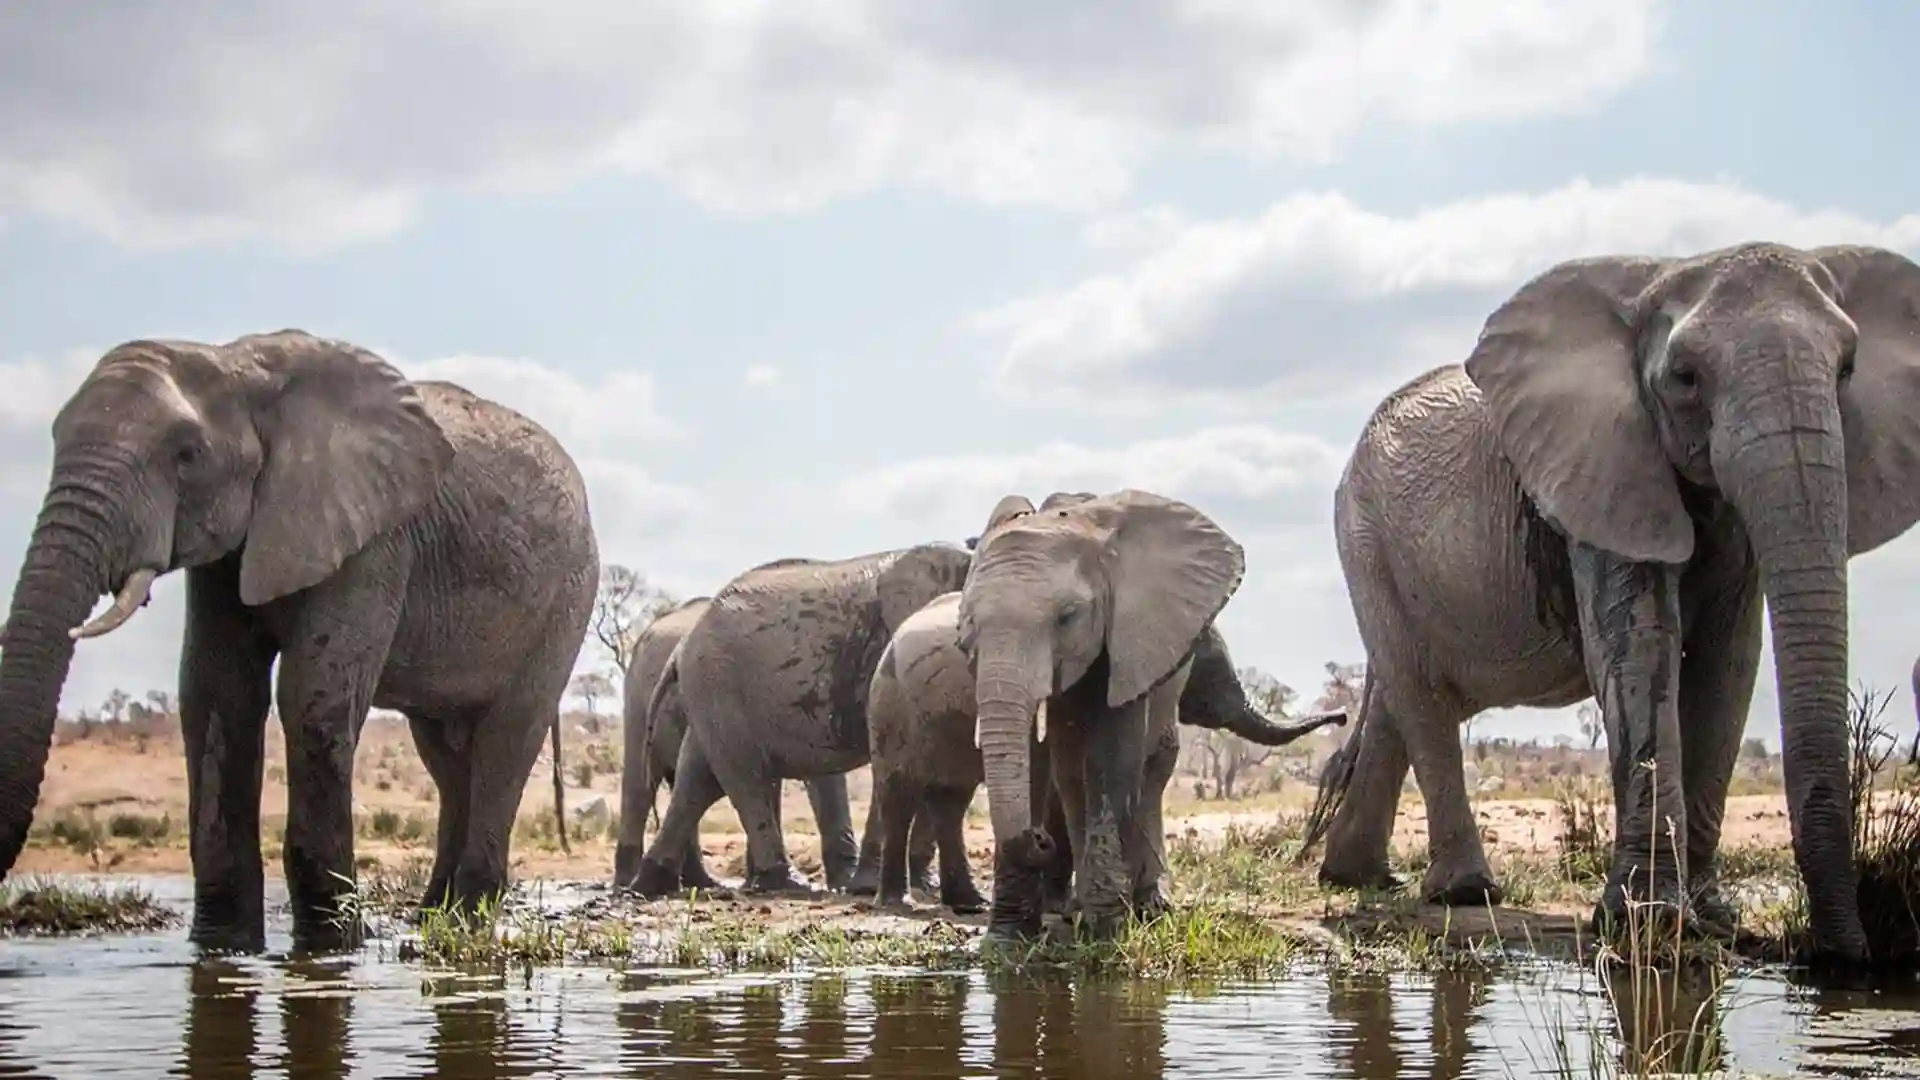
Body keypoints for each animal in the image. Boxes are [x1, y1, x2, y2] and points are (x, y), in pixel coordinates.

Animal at [0, 328, 595, 949]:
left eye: (187, 455)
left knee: (506, 740)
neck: (236, 364)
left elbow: (313, 697)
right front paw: (223, 946)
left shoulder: (375, 540)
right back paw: (436, 916)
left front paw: (334, 948)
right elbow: (217, 694)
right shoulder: (226, 553)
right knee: (447, 756)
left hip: (567, 598)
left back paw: (465, 921)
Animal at [625, 541, 967, 895]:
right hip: (718, 684)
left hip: (711, 694)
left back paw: (650, 886)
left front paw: (923, 887)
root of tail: (681, 647)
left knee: (698, 779)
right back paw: (784, 882)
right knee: (744, 778)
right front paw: (869, 888)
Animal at [864, 588, 1344, 907]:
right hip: (891, 705)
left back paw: (969, 904)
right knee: (899, 792)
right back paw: (898, 903)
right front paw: (1061, 902)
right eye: (1212, 670)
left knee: (951, 799)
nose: (1340, 717)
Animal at [956, 488, 1244, 933]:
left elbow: (1109, 759)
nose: (1039, 838)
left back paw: (1150, 906)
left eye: (1067, 617)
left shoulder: (1130, 638)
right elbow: (1061, 765)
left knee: (1154, 766)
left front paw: (1107, 928)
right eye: (968, 626)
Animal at [1290, 245, 1920, 968]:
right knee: (1420, 695)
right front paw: (1648, 923)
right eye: (1685, 377)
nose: (1837, 955)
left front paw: (1712, 920)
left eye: (1848, 368)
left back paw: (1359, 877)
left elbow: (1727, 665)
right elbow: (1639, 649)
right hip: (1364, 541)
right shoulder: (1598, 469)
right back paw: (1465, 893)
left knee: (1398, 700)